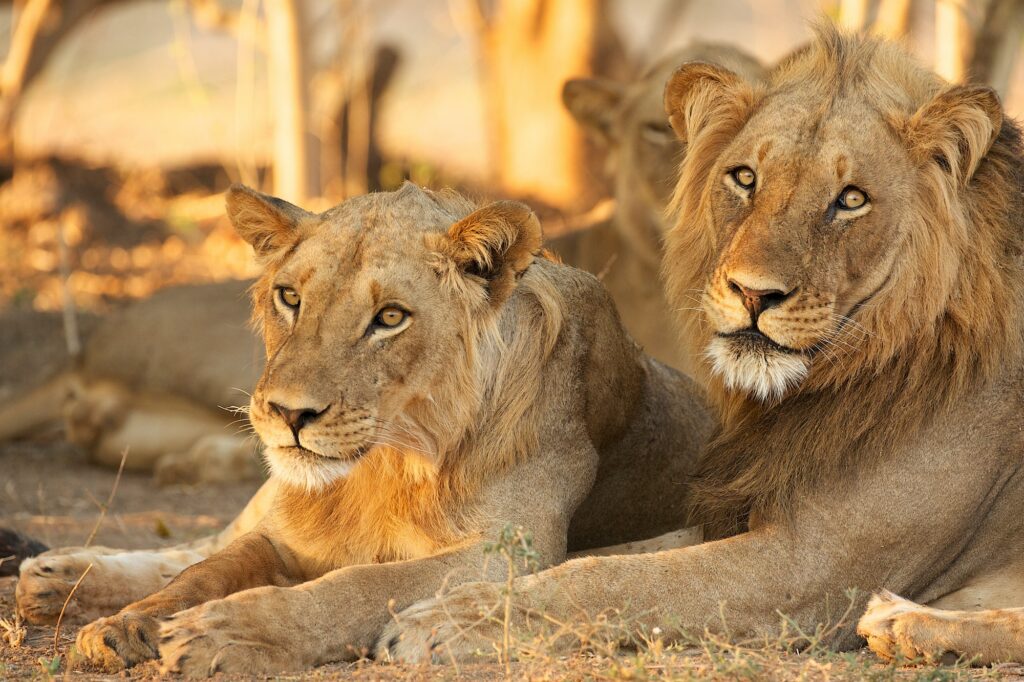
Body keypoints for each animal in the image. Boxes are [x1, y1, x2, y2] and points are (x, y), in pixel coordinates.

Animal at [19, 182, 716, 675]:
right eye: (290, 298)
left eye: (389, 317)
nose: (288, 414)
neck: (384, 465)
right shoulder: (285, 533)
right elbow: (206, 569)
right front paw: (129, 623)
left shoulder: (506, 553)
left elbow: (356, 584)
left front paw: (224, 630)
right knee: (202, 542)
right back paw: (56, 577)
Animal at [378, 23, 1024, 659]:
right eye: (745, 178)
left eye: (851, 199)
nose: (753, 293)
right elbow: (602, 555)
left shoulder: (814, 566)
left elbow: (611, 579)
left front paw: (446, 620)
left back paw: (902, 622)